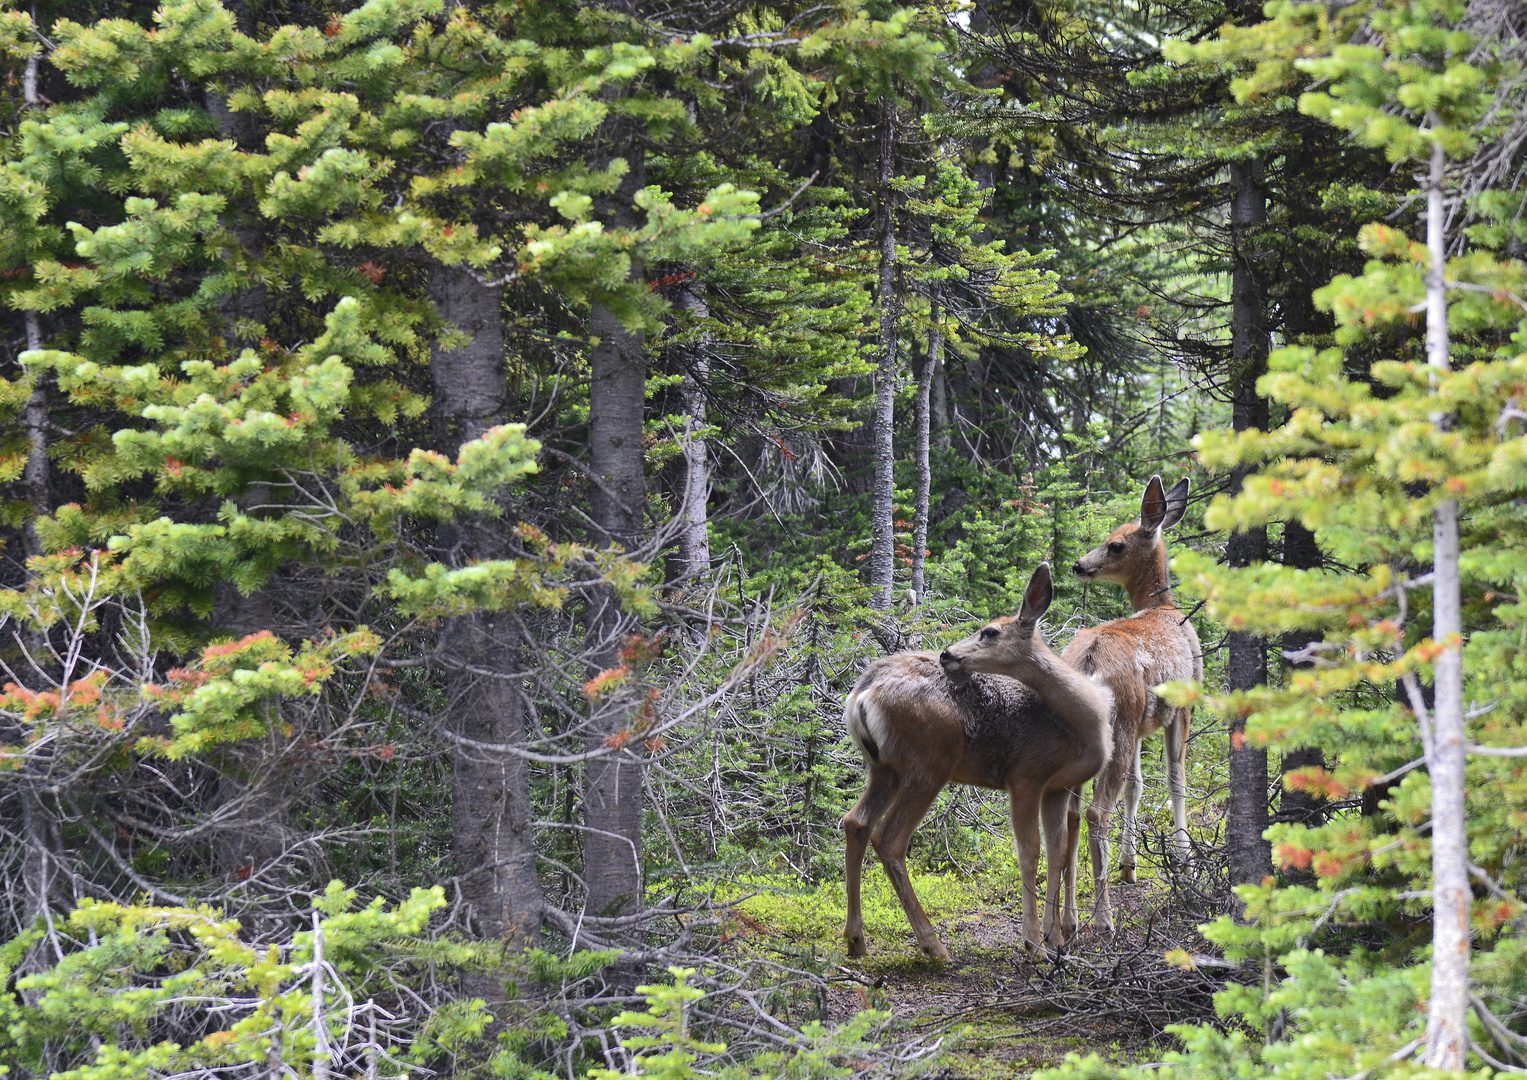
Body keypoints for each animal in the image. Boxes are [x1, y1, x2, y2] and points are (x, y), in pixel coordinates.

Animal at [842, 562, 1117, 959]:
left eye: (989, 631)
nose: (946, 654)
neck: (1083, 724)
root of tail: (862, 693)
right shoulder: (1025, 775)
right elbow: (1030, 852)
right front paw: (1033, 941)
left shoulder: (1058, 786)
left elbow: (1058, 852)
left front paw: (1055, 938)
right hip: (929, 762)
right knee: (890, 838)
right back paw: (932, 944)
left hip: (884, 767)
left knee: (856, 822)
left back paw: (856, 940)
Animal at [1068, 476, 1197, 934]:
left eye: (1116, 544)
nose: (1078, 565)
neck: (1163, 608)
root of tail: (1087, 664)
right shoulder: (1183, 707)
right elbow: (1175, 780)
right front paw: (1185, 861)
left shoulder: (1142, 722)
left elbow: (1137, 787)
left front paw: (1130, 865)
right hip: (1118, 725)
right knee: (1093, 813)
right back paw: (1102, 918)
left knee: (1069, 812)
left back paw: (1066, 919)